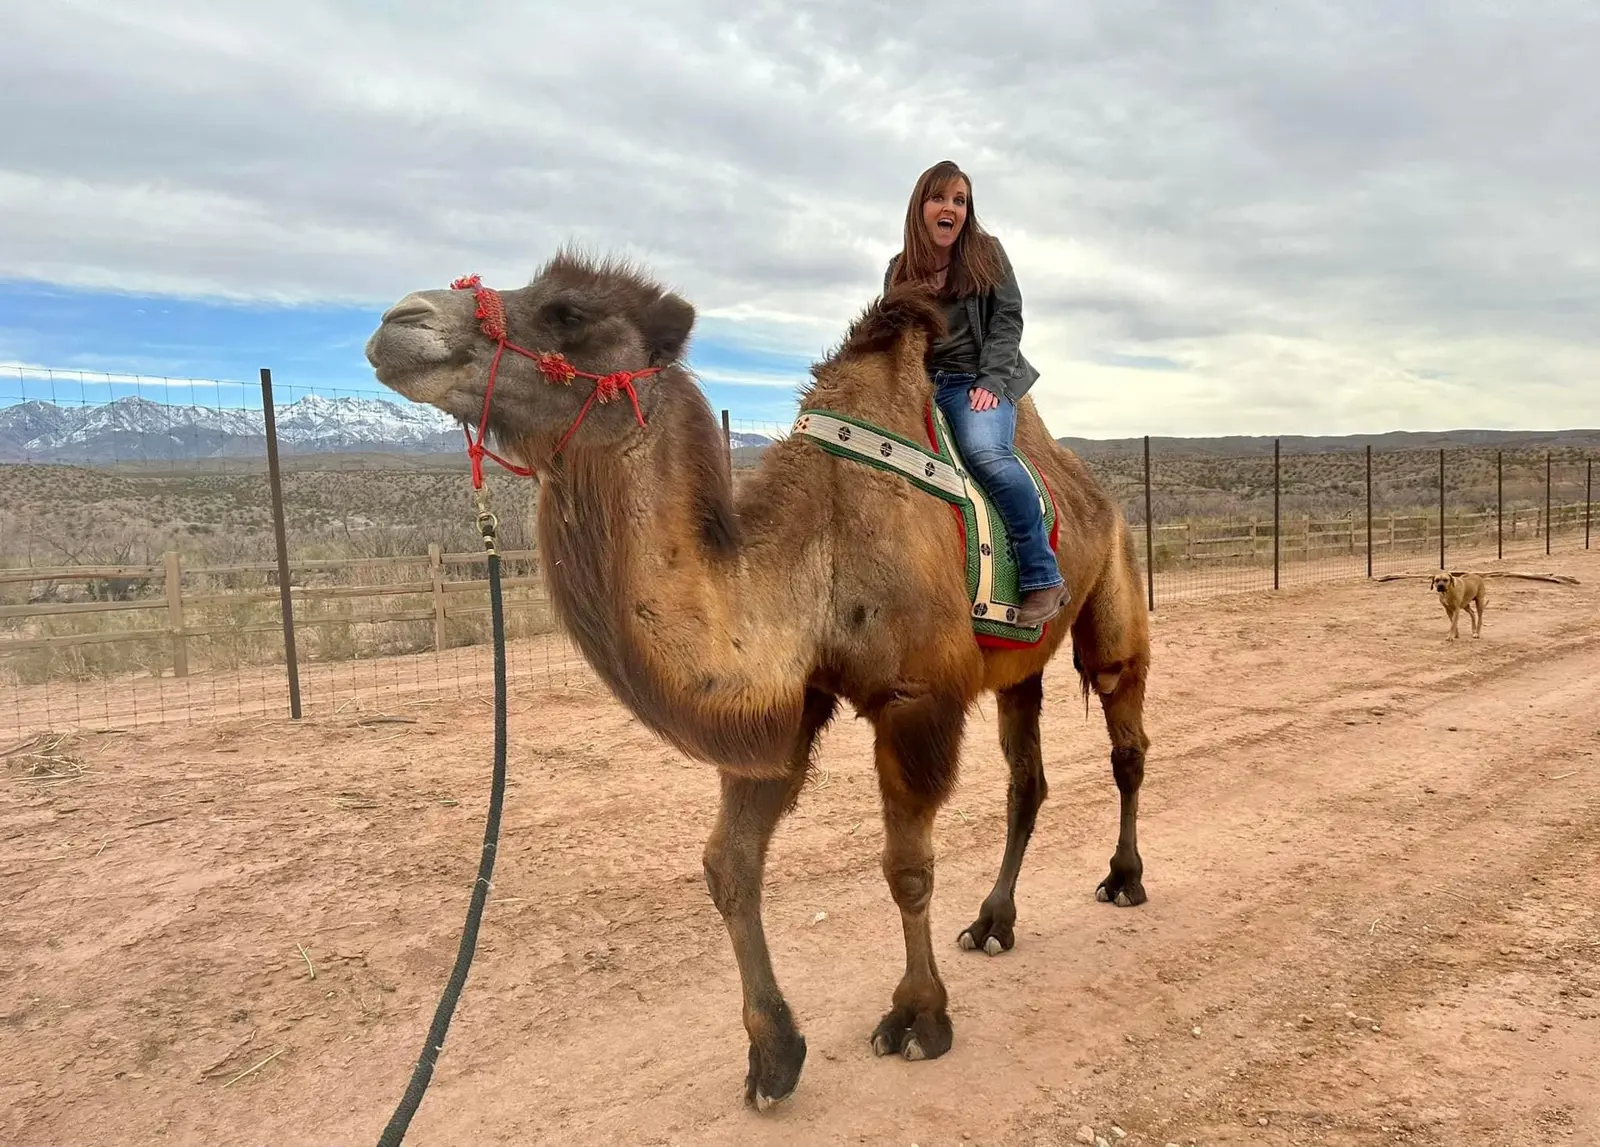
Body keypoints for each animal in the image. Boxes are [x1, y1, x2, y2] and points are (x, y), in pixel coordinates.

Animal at [363, 249, 1152, 1109]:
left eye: (569, 312)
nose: (398, 320)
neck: (816, 547)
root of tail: (1092, 489)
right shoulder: (789, 701)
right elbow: (729, 866)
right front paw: (774, 1054)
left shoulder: (915, 701)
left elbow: (906, 868)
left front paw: (918, 1018)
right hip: (1017, 664)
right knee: (1026, 781)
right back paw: (992, 923)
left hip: (1113, 582)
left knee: (1124, 737)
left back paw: (1123, 879)